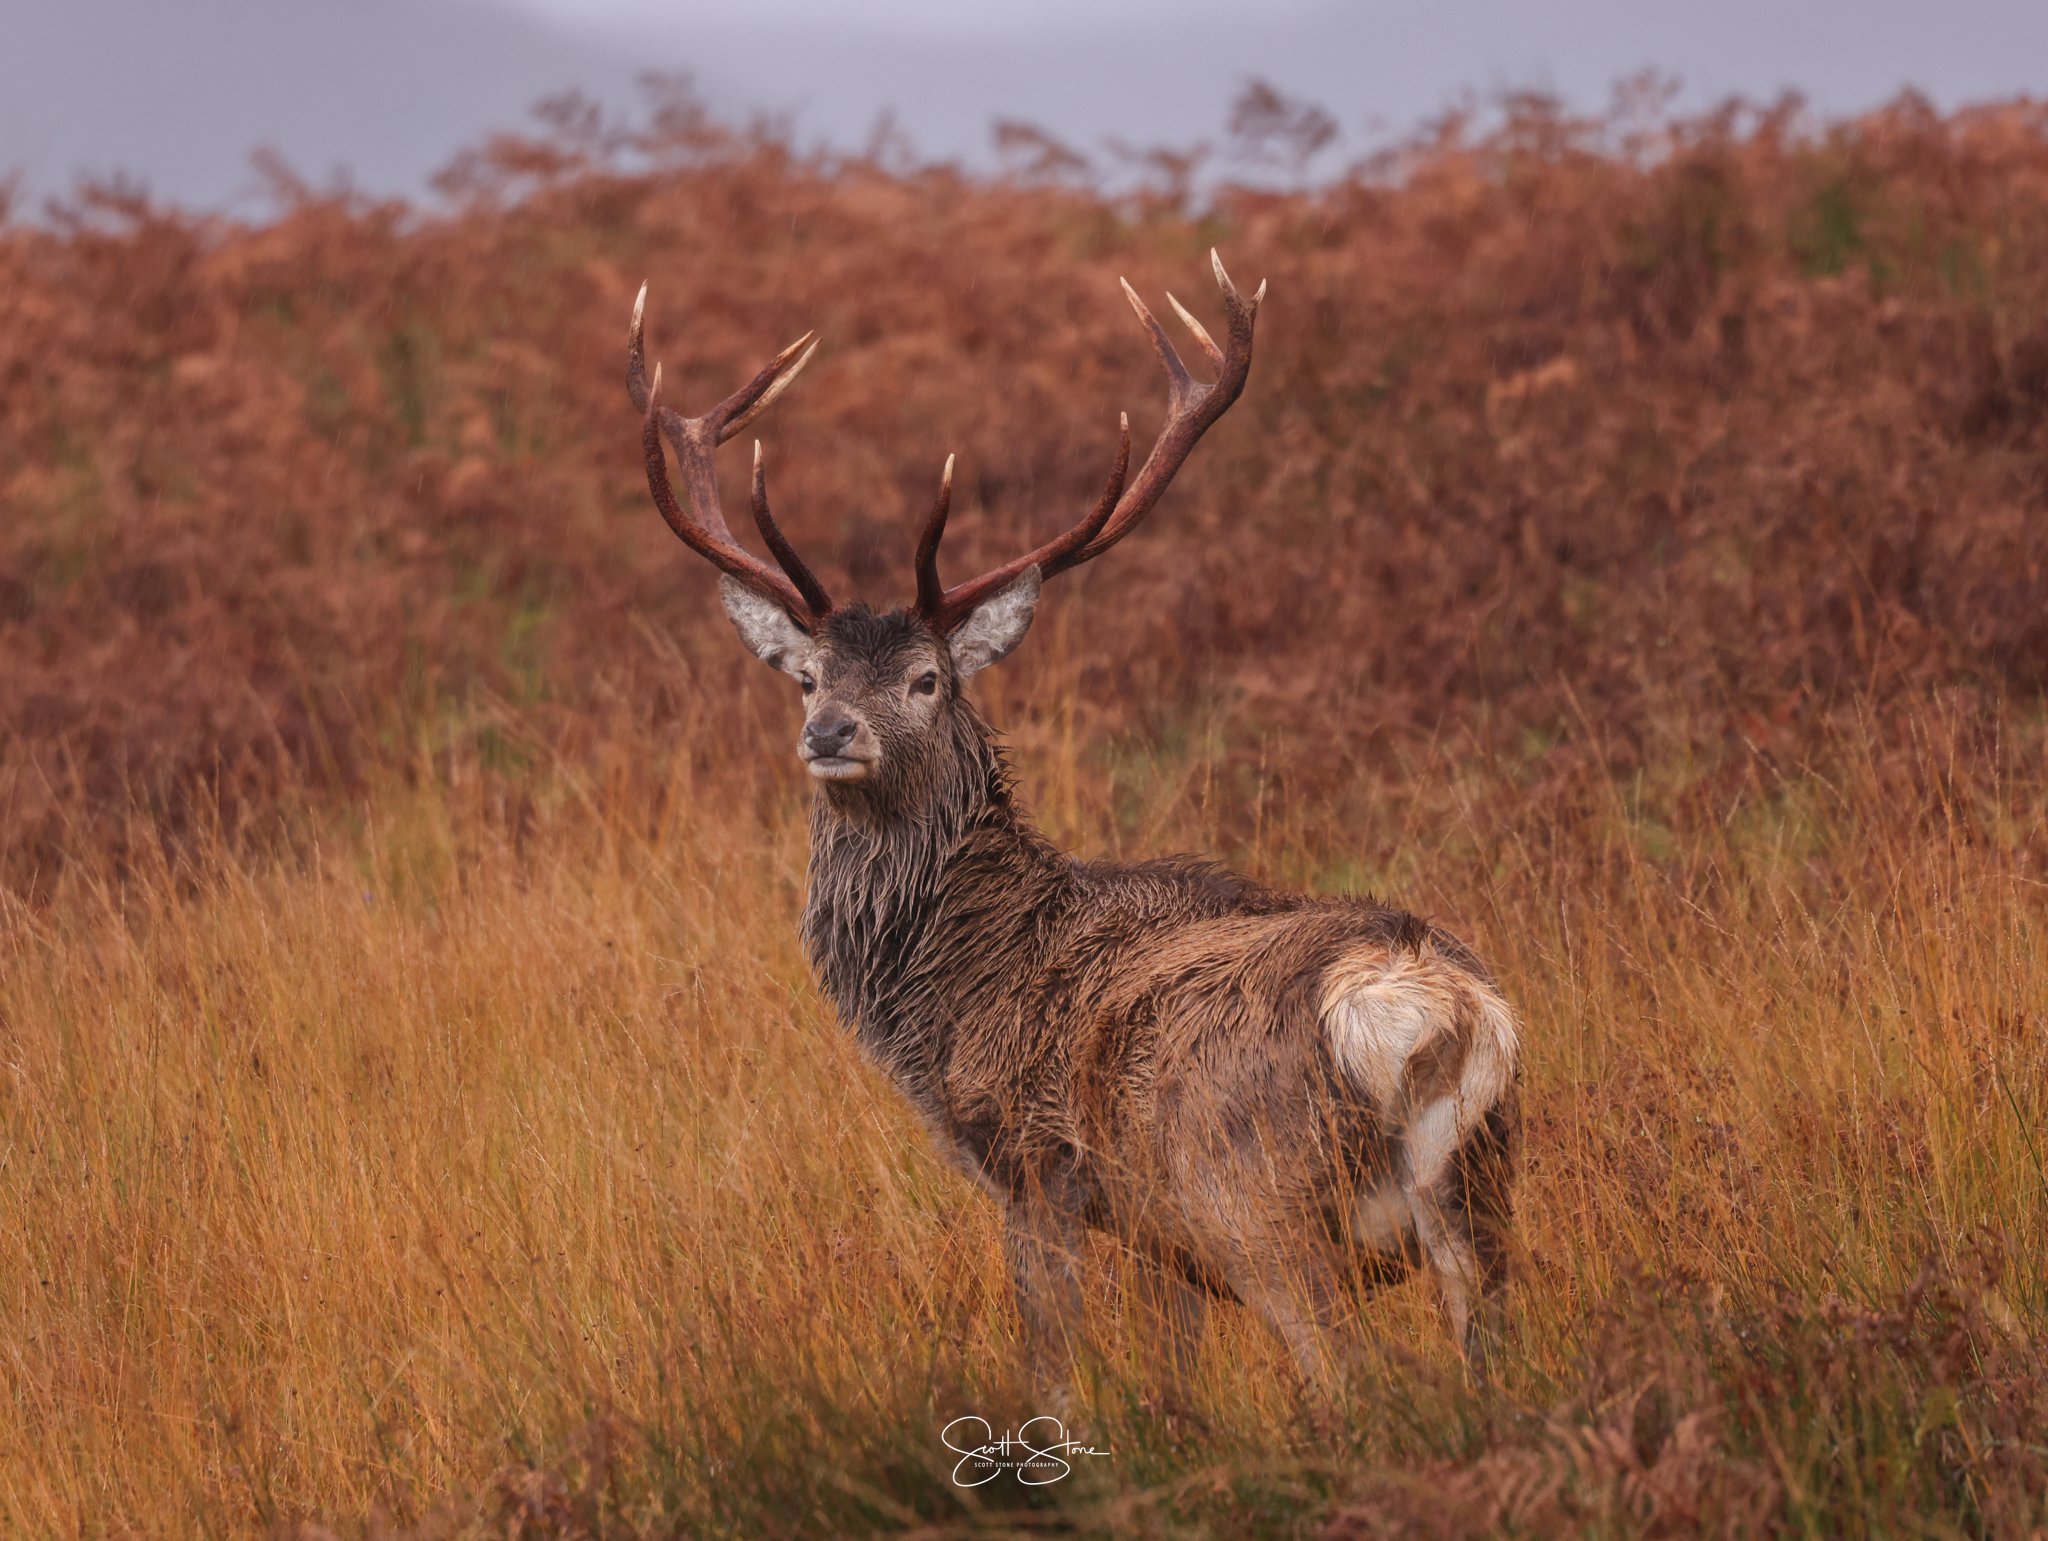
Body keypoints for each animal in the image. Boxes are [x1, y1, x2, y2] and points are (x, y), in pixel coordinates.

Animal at [624, 254, 1521, 1399]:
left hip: (1252, 1199)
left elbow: (1050, 1373)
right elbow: (1177, 1380)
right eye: (809, 676)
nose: (828, 732)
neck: (949, 996)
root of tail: (1420, 1010)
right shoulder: (1158, 1239)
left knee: (1345, 1373)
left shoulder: (1032, 1166)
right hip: (1479, 1194)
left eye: (926, 678)